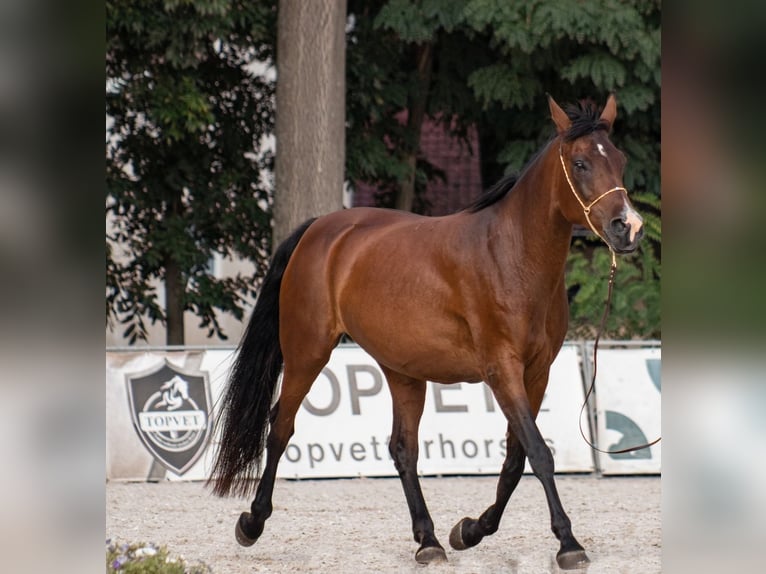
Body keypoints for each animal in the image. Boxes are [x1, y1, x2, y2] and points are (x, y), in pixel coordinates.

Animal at [207, 95, 644, 572]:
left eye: (620, 160)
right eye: (581, 163)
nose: (628, 227)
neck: (510, 255)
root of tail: (320, 230)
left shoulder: (536, 372)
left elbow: (516, 458)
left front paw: (470, 531)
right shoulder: (502, 370)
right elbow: (538, 453)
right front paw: (568, 543)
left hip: (402, 371)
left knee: (403, 449)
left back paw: (428, 539)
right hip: (308, 352)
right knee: (280, 428)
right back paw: (252, 523)